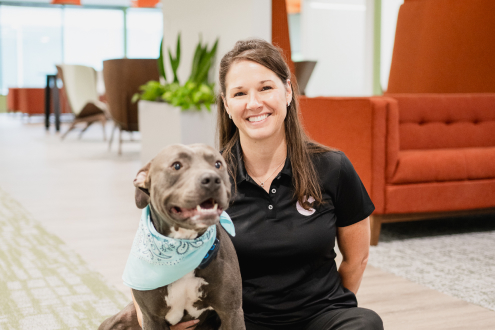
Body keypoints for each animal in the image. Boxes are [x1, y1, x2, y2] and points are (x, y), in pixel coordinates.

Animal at [98, 144, 244, 330]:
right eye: (176, 165)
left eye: (218, 164)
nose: (212, 179)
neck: (183, 242)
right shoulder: (151, 318)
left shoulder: (231, 313)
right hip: (120, 318)